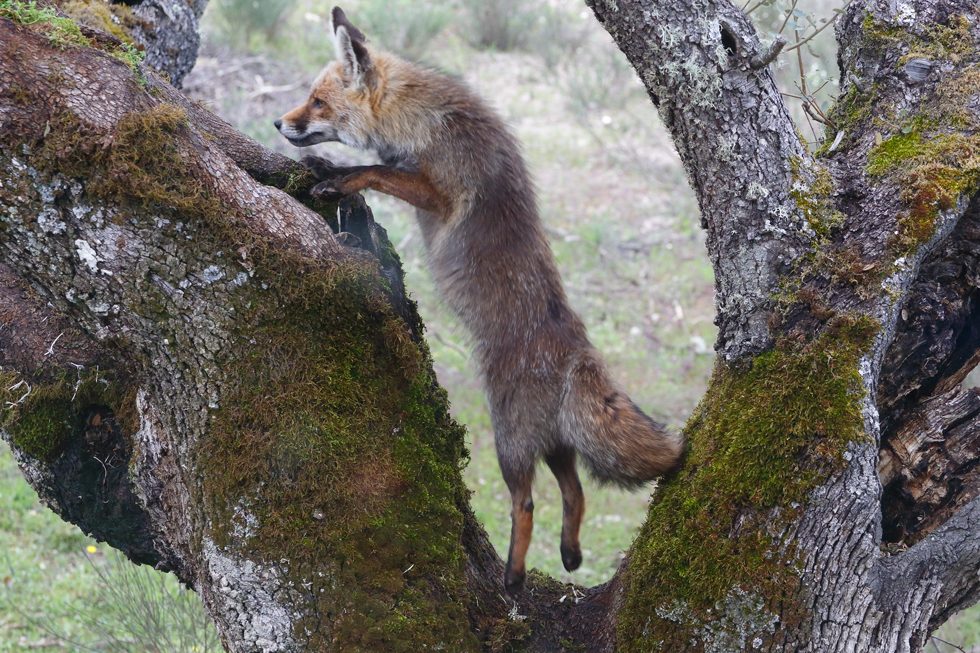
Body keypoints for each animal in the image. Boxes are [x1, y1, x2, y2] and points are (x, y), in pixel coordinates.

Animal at [272, 8, 684, 592]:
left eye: (317, 102)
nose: (277, 124)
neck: (422, 119)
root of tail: (576, 348)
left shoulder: (437, 193)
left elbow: (379, 171)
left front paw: (341, 179)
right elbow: (368, 169)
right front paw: (329, 170)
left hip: (508, 440)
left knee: (527, 503)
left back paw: (512, 576)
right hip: (552, 442)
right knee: (575, 489)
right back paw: (570, 554)